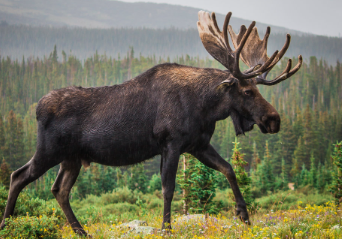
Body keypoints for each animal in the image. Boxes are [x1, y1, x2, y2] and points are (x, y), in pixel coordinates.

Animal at [2, 10, 302, 235]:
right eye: (247, 91)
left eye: (257, 89)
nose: (274, 120)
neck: (205, 107)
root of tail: (37, 108)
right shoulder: (171, 143)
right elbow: (168, 188)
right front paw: (166, 228)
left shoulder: (198, 145)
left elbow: (228, 169)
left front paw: (244, 214)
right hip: (49, 150)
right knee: (18, 176)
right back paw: (7, 223)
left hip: (72, 158)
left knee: (60, 190)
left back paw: (81, 231)